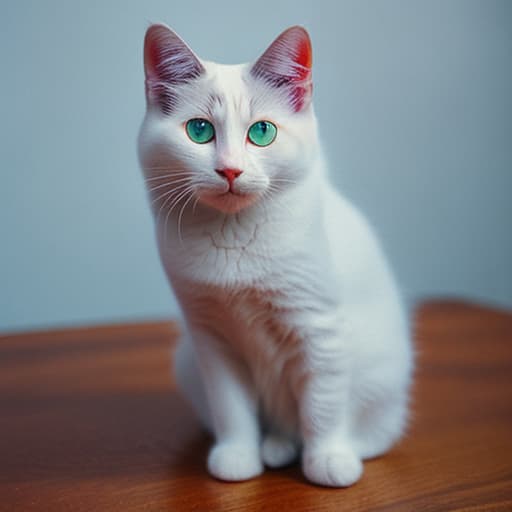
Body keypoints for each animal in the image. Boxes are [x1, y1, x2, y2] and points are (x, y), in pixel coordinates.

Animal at [138, 25, 414, 488]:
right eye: (199, 130)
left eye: (262, 132)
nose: (230, 170)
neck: (234, 237)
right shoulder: (211, 340)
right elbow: (231, 407)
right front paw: (237, 456)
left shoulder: (320, 330)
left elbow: (322, 406)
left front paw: (327, 460)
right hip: (188, 362)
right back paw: (274, 446)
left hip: (381, 373)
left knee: (374, 430)